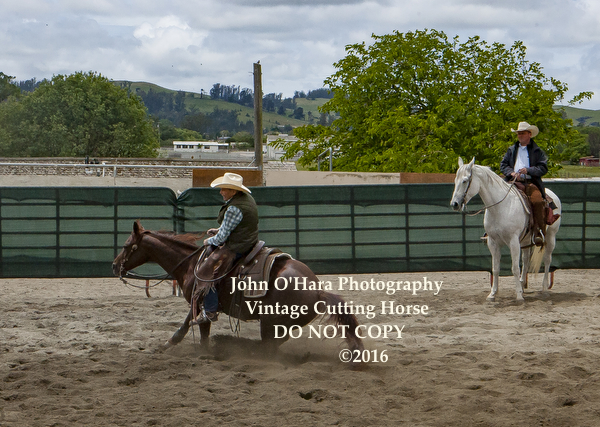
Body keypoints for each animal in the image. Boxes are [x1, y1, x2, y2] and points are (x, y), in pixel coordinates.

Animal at [112, 220, 364, 364]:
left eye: (126, 246)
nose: (114, 266)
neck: (191, 264)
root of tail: (318, 292)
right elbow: (195, 329)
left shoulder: (200, 300)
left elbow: (191, 328)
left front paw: (176, 347)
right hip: (281, 326)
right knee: (271, 346)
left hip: (271, 322)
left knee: (267, 348)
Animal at [450, 158, 562, 302]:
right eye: (455, 180)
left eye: (464, 181)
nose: (454, 204)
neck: (500, 207)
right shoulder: (493, 242)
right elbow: (496, 268)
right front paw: (493, 294)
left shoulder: (513, 242)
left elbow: (514, 268)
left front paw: (518, 296)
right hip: (526, 240)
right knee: (526, 260)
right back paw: (522, 285)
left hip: (550, 236)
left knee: (547, 260)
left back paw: (544, 288)